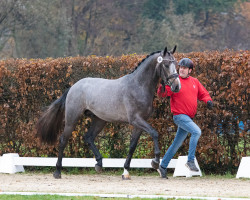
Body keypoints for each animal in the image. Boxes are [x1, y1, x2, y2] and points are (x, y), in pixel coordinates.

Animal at [36, 45, 181, 180]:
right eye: (166, 64)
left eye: (176, 64)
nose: (176, 86)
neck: (138, 86)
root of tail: (73, 87)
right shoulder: (136, 120)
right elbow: (155, 133)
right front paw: (155, 162)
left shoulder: (140, 123)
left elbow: (132, 146)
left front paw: (126, 172)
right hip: (72, 119)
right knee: (63, 140)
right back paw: (57, 172)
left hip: (100, 120)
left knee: (88, 137)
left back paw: (99, 164)